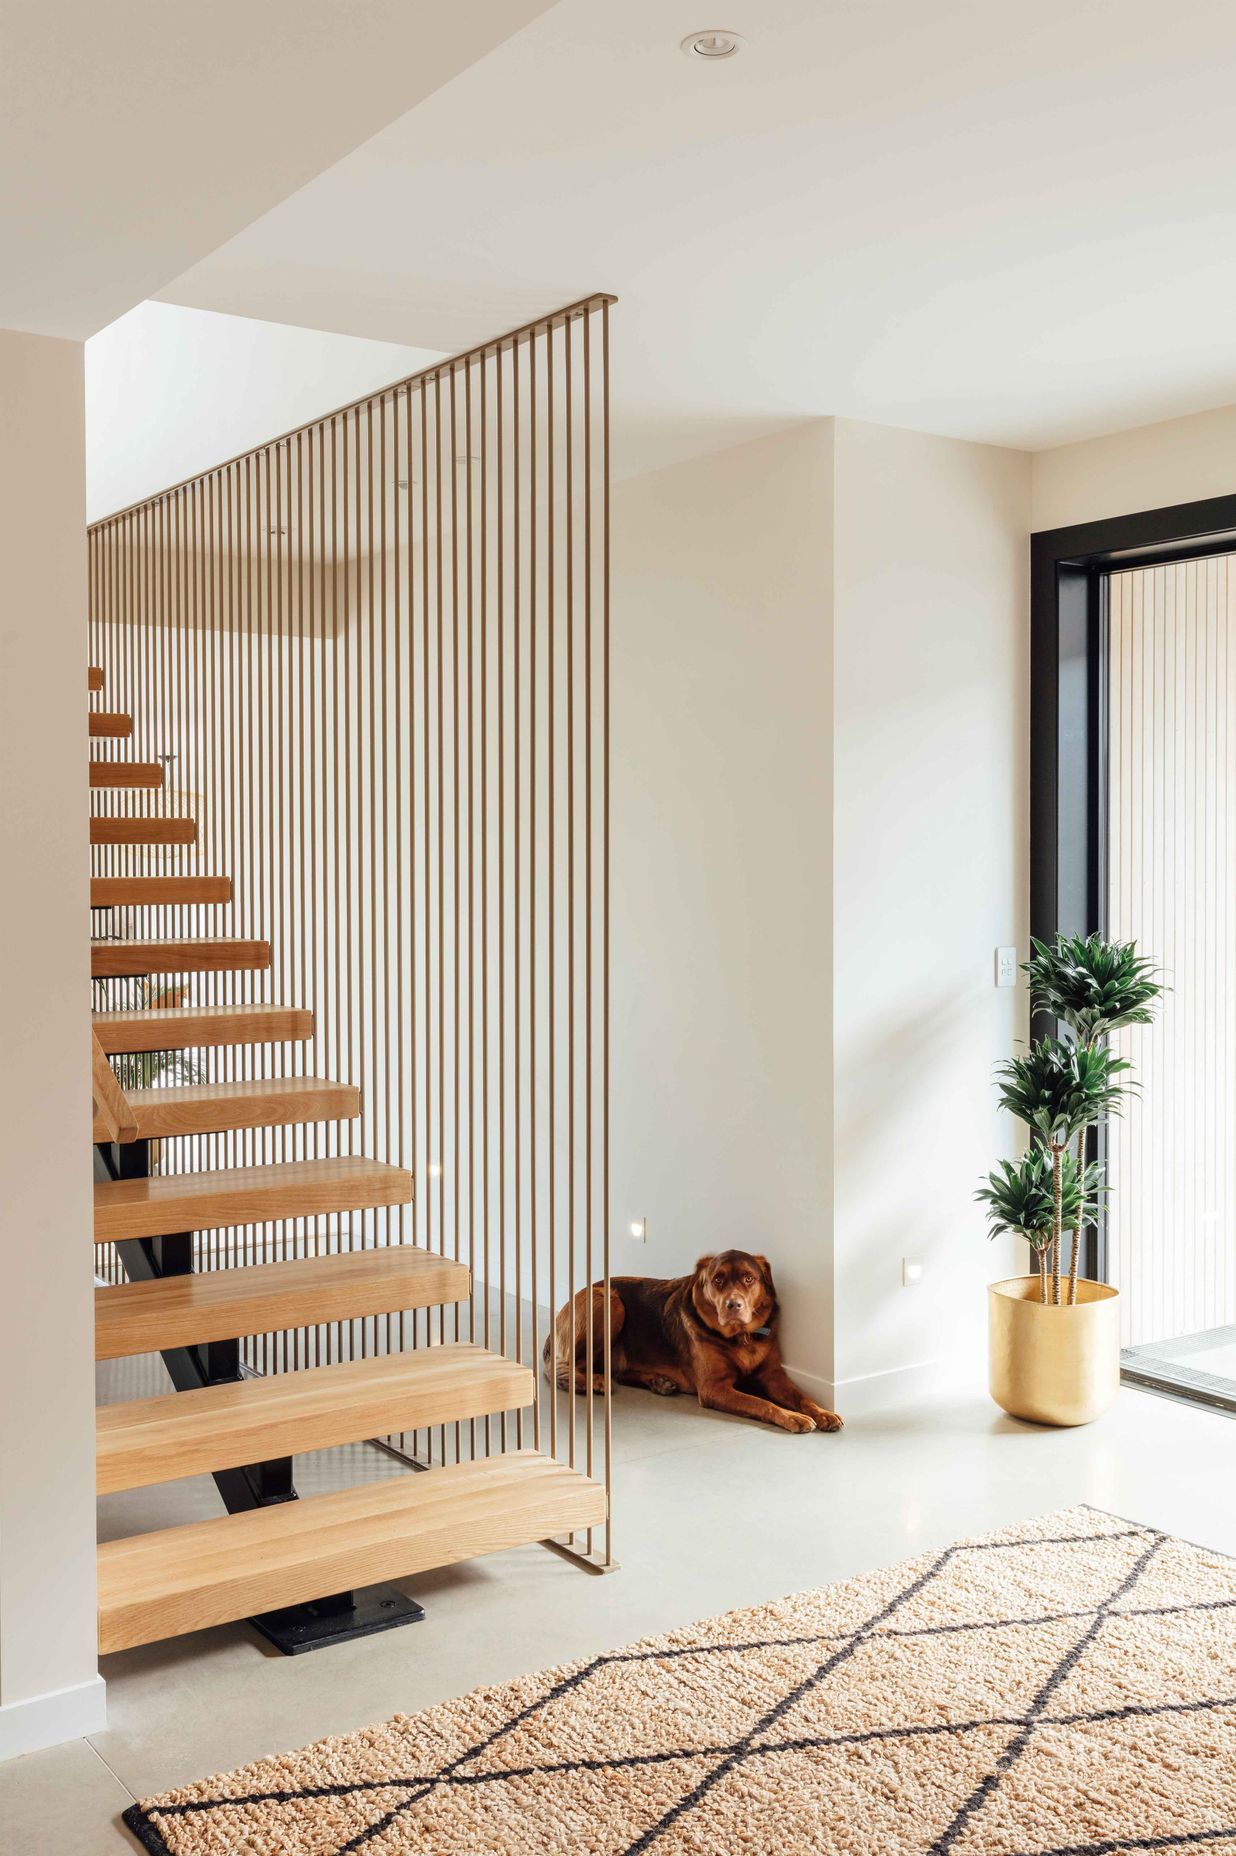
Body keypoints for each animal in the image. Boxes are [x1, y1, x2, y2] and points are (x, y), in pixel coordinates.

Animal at [538, 1247, 838, 1432]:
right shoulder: (714, 1388)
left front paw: (822, 1412)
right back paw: (594, 1383)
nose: (733, 1305)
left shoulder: (773, 1374)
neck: (740, 1339)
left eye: (748, 1279)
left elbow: (802, 1396)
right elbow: (761, 1403)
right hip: (609, 1301)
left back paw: (659, 1382)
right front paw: (792, 1417)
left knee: (618, 1372)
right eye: (717, 1280)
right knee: (563, 1369)